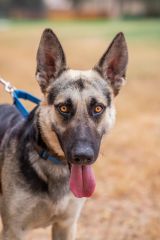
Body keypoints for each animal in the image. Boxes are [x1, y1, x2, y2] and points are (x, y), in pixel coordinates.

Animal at [0, 29, 128, 239]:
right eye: (64, 108)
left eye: (98, 108)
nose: (83, 157)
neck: (54, 164)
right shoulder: (14, 230)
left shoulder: (66, 225)